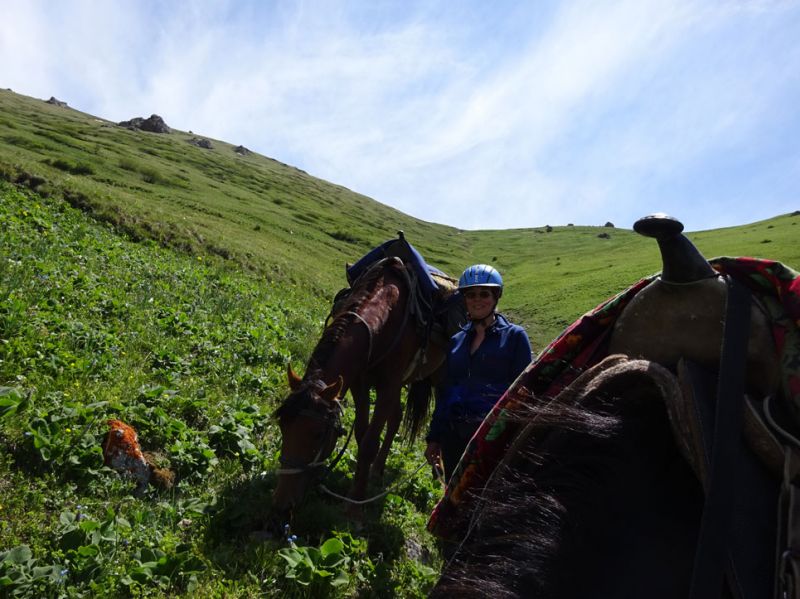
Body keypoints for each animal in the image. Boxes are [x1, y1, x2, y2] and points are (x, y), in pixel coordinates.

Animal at [274, 247, 460, 516]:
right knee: (395, 419)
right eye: (282, 426)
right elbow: (363, 434)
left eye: (318, 435)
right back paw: (377, 470)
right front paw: (358, 485)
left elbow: (370, 442)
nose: (282, 504)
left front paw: (354, 505)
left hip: (438, 379)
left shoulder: (388, 386)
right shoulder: (359, 384)